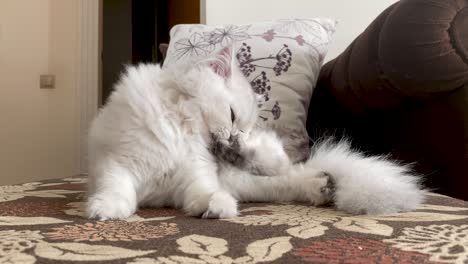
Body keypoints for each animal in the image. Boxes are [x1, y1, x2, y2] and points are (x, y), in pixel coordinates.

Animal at [85, 48, 424, 221]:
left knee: (281, 170)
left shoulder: (195, 170)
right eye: (232, 115)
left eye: (242, 126)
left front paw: (215, 208)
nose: (235, 137)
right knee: (276, 184)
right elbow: (118, 190)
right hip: (242, 181)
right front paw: (105, 211)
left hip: (254, 166)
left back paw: (316, 182)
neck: (183, 128)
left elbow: (205, 189)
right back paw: (321, 186)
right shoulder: (119, 162)